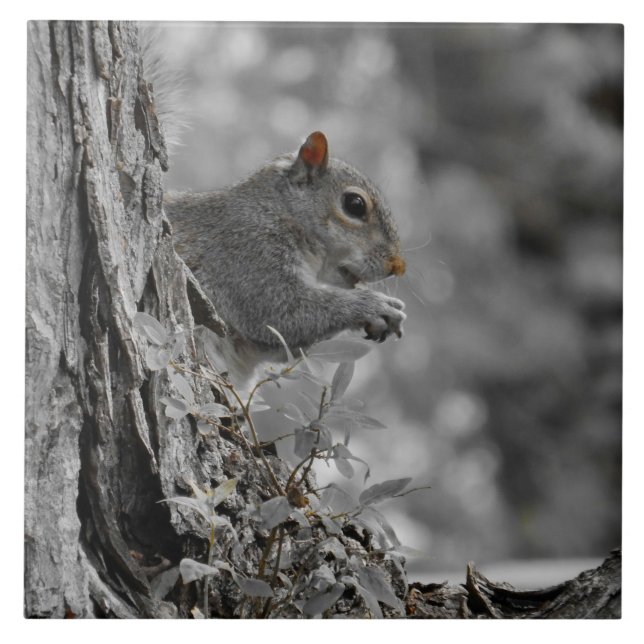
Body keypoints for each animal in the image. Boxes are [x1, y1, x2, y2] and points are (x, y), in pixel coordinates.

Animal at [164, 132, 407, 380]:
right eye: (355, 204)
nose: (396, 267)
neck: (279, 211)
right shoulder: (244, 252)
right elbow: (280, 312)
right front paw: (375, 305)